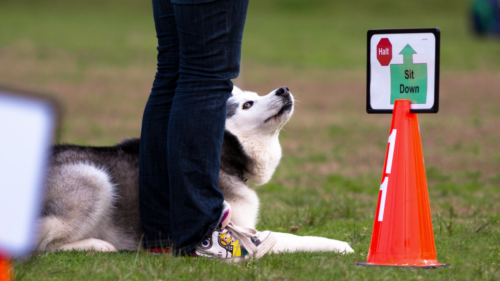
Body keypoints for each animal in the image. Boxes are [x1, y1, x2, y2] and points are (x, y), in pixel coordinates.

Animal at [37, 85, 354, 254]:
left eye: (254, 96)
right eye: (248, 104)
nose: (283, 89)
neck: (224, 160)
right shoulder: (242, 235)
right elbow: (294, 238)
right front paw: (339, 245)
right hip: (95, 178)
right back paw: (97, 244)